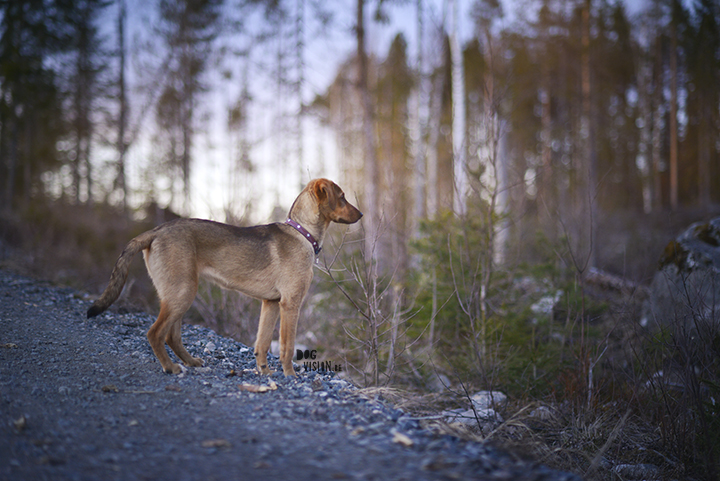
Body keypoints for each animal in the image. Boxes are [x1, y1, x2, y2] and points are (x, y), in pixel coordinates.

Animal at [87, 179, 362, 376]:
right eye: (342, 197)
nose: (361, 215)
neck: (302, 233)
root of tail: (155, 231)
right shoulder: (290, 304)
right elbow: (287, 347)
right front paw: (290, 376)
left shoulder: (271, 304)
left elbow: (262, 344)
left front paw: (264, 373)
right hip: (182, 292)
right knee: (155, 334)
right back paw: (171, 367)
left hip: (178, 293)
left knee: (171, 335)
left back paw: (191, 362)